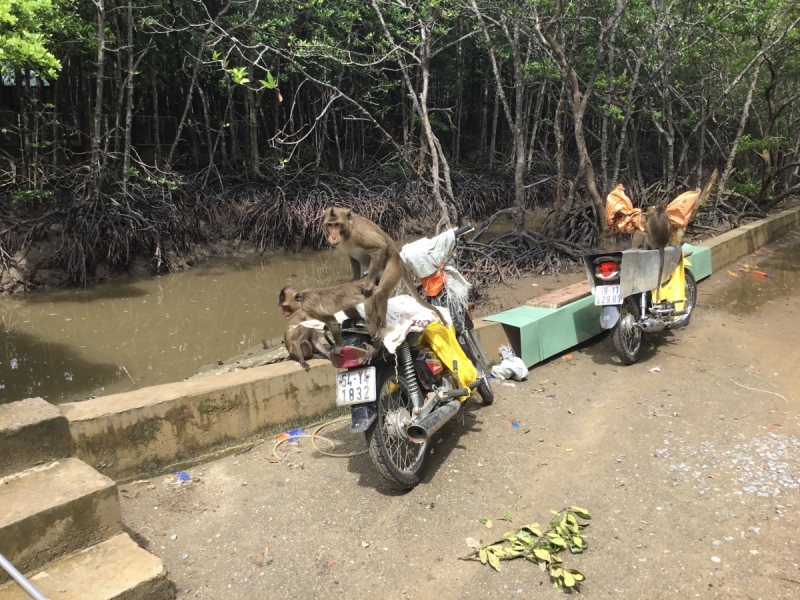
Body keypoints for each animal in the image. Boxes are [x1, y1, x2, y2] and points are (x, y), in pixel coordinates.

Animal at [318, 207, 444, 342]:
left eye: (337, 224)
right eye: (330, 225)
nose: (333, 237)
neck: (347, 232)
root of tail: (399, 258)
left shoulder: (358, 234)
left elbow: (379, 247)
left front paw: (368, 284)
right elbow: (352, 257)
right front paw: (355, 278)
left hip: (394, 268)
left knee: (381, 292)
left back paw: (381, 325)